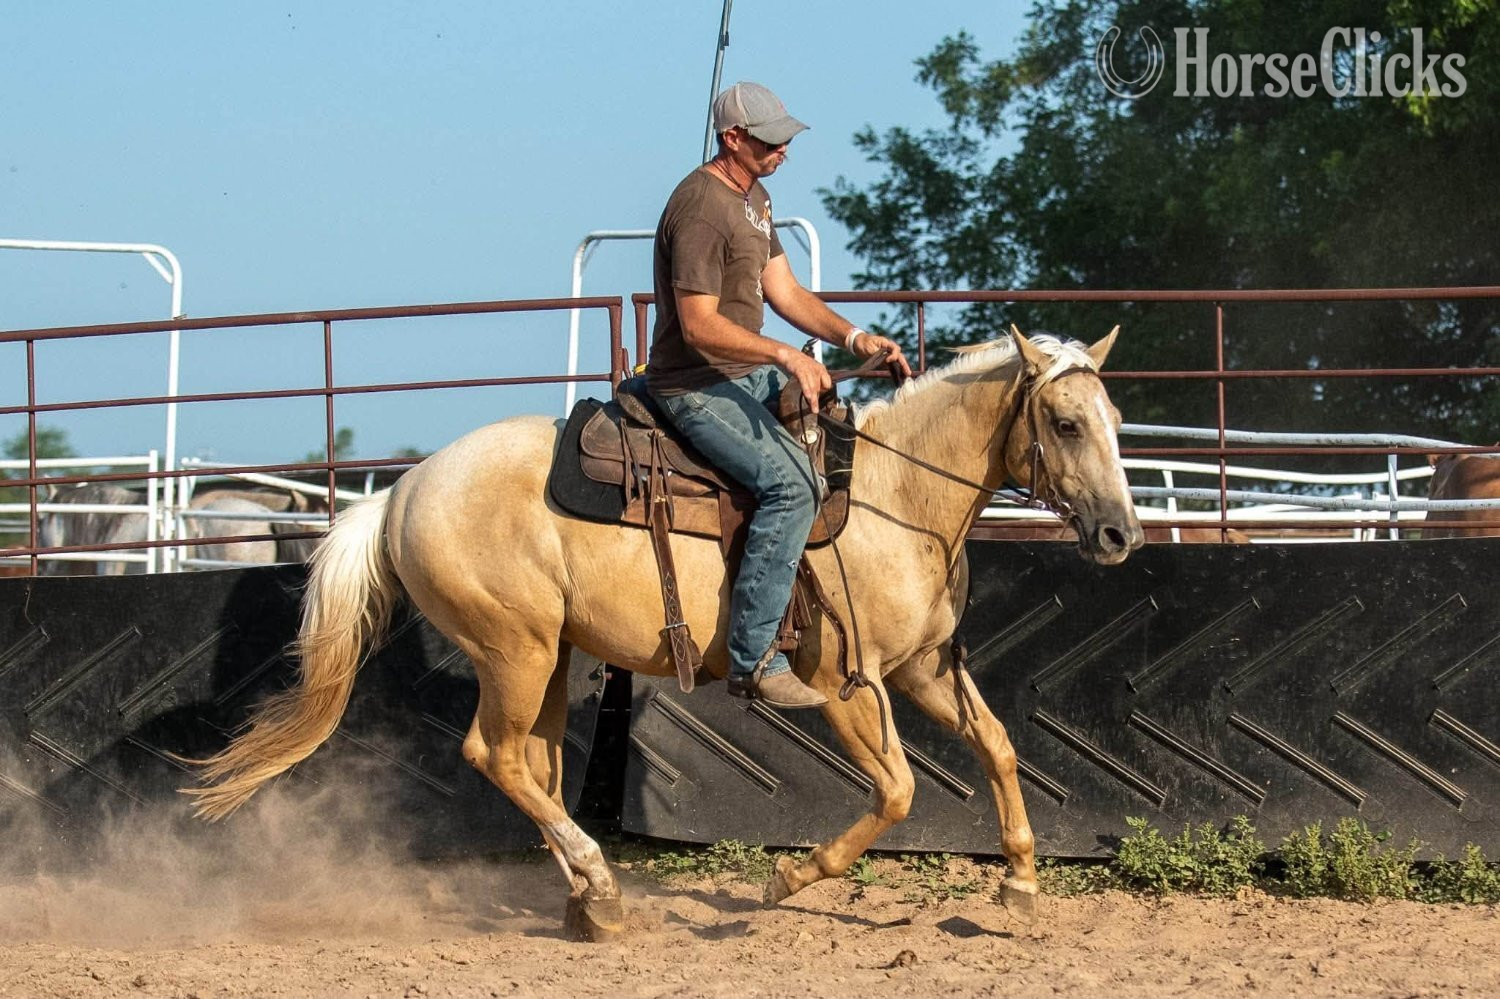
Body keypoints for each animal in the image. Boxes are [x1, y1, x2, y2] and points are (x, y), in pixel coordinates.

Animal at [185, 327, 1145, 940]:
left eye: (1114, 424)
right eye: (1065, 423)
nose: (1120, 534)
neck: (890, 500)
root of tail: (401, 490)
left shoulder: (921, 669)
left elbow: (998, 745)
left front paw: (1020, 879)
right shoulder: (843, 684)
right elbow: (901, 791)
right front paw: (788, 877)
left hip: (552, 657)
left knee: (536, 766)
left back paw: (588, 898)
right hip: (516, 650)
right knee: (494, 756)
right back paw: (601, 882)